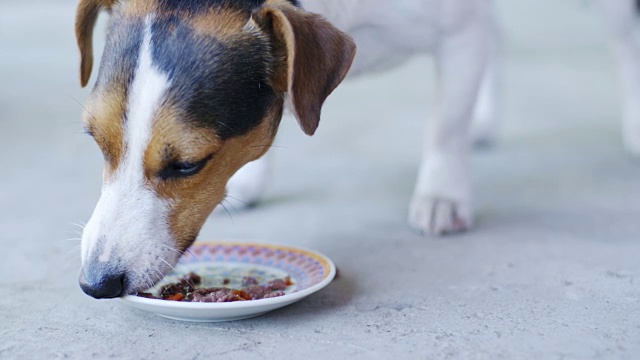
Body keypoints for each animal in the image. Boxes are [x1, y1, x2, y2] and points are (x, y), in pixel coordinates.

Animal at [226, 0, 640, 236]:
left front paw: (441, 196)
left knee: (624, 43)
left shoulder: (459, 36)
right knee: (496, 36)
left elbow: (446, 128)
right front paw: (250, 175)